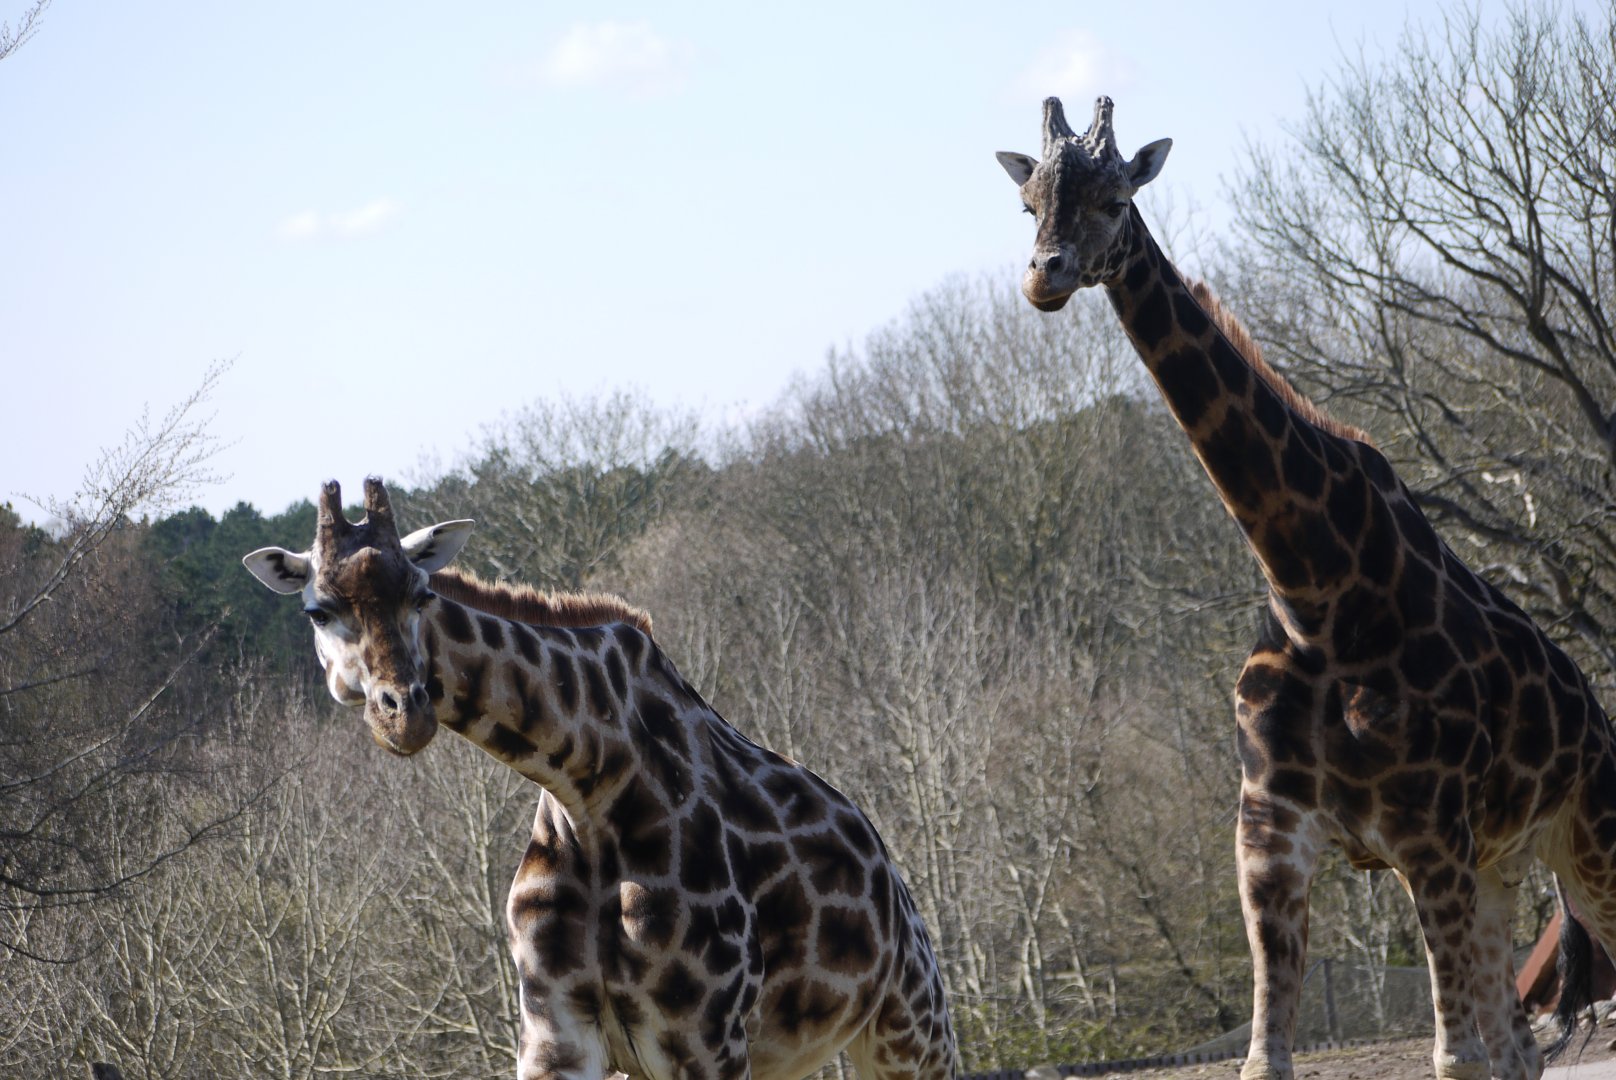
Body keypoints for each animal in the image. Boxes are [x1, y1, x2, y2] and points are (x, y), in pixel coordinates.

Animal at [242, 477, 958, 1080]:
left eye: (421, 594)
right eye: (317, 610)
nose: (405, 714)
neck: (590, 787)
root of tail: (895, 881)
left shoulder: (706, 1039)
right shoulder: (555, 1034)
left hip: (911, 1028)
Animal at [995, 96, 1616, 1080]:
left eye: (1114, 197)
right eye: (1029, 204)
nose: (1043, 278)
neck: (1316, 590)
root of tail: (1593, 709)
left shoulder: (1428, 838)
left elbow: (1453, 1057)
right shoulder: (1270, 837)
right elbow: (1267, 1057)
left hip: (1585, 839)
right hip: (1502, 867)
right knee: (1519, 1043)